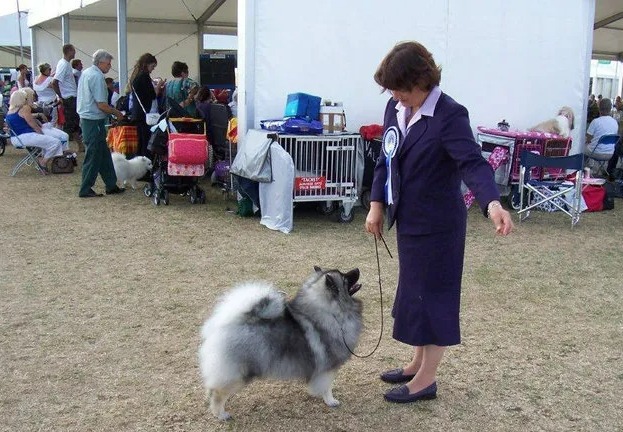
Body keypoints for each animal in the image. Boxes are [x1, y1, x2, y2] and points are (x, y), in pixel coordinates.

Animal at [197, 264, 364, 420]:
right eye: (345, 278)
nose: (357, 269)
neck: (331, 312)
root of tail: (225, 323)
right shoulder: (328, 369)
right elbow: (327, 387)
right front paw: (331, 401)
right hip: (238, 373)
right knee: (218, 393)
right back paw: (221, 415)